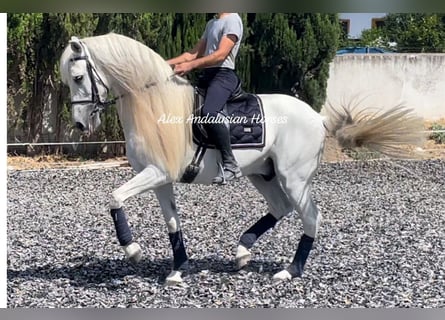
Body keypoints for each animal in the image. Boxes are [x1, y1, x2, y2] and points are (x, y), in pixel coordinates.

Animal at [59, 33, 424, 284]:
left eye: (78, 78)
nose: (79, 125)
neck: (153, 104)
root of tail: (317, 118)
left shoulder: (155, 172)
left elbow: (114, 197)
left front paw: (133, 251)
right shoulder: (161, 177)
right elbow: (172, 222)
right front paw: (177, 270)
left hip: (294, 178)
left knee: (310, 216)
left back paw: (290, 271)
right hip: (262, 174)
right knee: (280, 208)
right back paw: (242, 252)